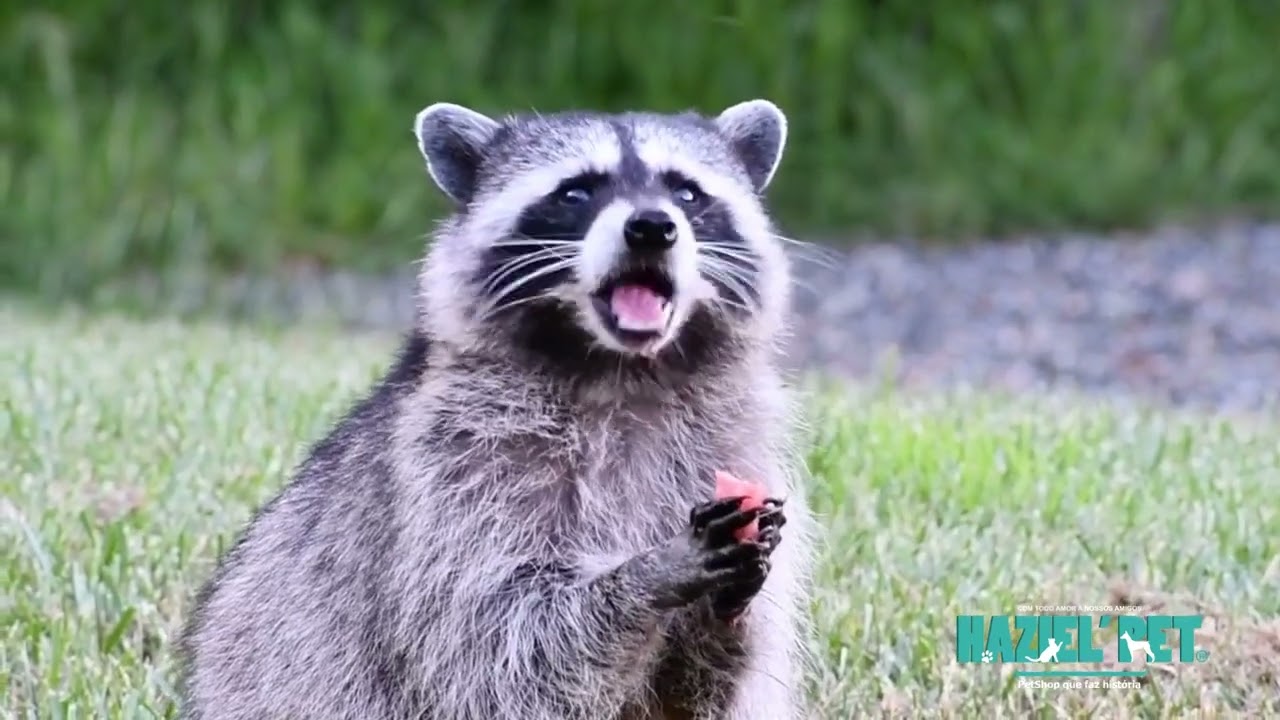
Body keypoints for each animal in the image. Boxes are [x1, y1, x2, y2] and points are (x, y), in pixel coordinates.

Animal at [178, 98, 817, 720]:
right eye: (576, 192)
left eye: (686, 192)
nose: (651, 227)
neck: (623, 370)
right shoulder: (454, 468)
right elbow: (500, 643)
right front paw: (648, 573)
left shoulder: (735, 442)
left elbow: (696, 691)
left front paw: (729, 605)